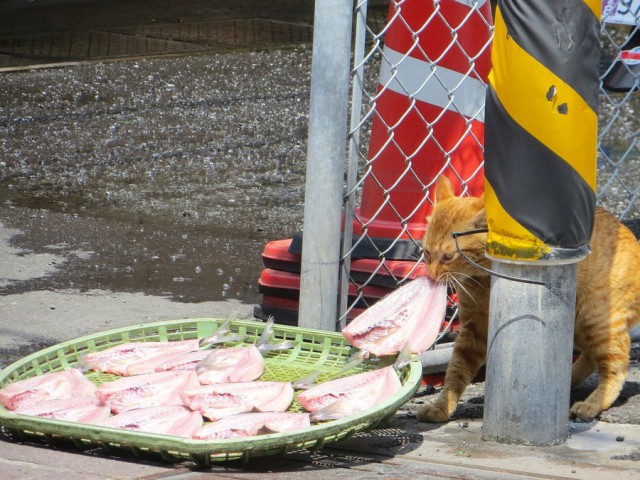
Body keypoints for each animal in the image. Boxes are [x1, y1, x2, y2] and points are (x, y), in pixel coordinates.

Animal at [418, 174, 640, 422]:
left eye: (448, 256)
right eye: (427, 253)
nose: (431, 275)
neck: (482, 279)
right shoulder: (472, 329)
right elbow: (456, 370)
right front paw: (442, 405)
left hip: (595, 318)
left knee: (616, 365)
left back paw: (592, 403)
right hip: (577, 326)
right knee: (591, 357)